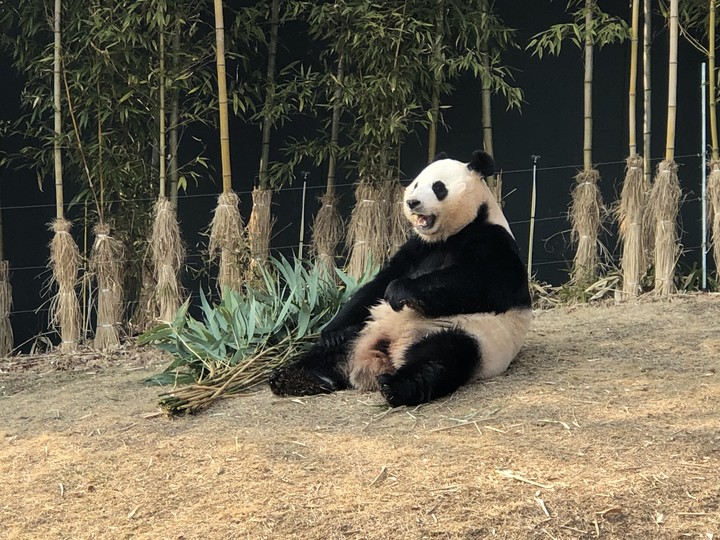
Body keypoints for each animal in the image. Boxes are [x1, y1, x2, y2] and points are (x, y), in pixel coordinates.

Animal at [269, 150, 532, 407]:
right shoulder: (417, 248)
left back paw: (395, 386)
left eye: (438, 187)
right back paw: (295, 376)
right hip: (366, 326)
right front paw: (332, 330)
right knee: (333, 349)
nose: (412, 202)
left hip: (468, 335)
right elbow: (376, 284)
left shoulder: (493, 241)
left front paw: (400, 291)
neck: (451, 235)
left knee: (441, 357)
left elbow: (483, 283)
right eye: (416, 184)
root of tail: (387, 352)